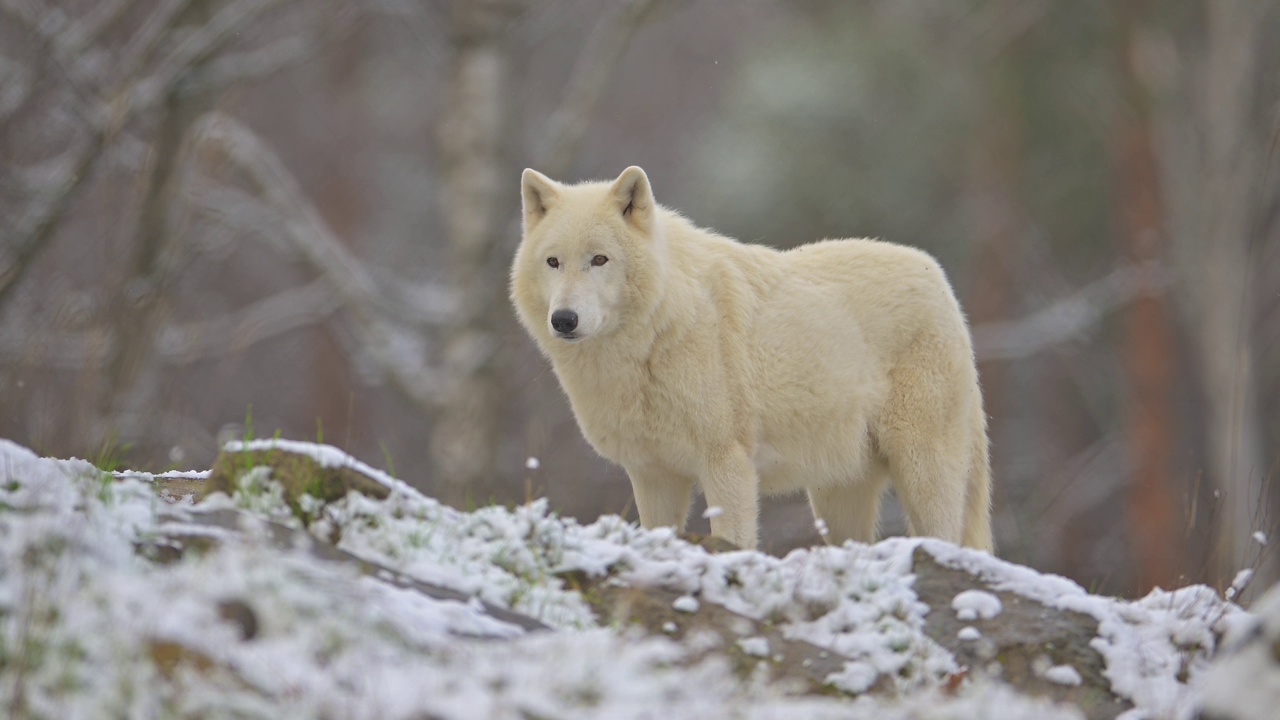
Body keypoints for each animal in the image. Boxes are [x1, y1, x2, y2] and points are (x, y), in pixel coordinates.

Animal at [506, 166, 988, 548]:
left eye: (600, 259)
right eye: (553, 262)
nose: (564, 319)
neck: (655, 337)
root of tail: (938, 277)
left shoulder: (727, 463)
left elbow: (733, 540)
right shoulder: (652, 474)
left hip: (923, 471)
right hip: (836, 496)